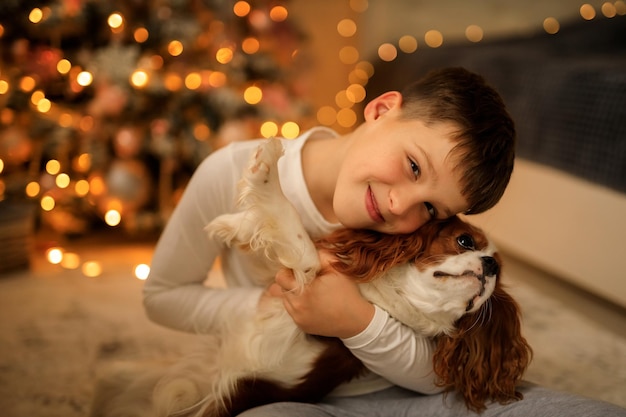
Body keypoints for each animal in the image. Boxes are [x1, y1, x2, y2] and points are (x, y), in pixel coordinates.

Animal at [90, 137, 528, 416]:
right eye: (465, 241)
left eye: (498, 271)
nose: (490, 267)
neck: (381, 295)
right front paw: (235, 225)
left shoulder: (305, 284)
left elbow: (295, 233)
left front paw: (265, 170)